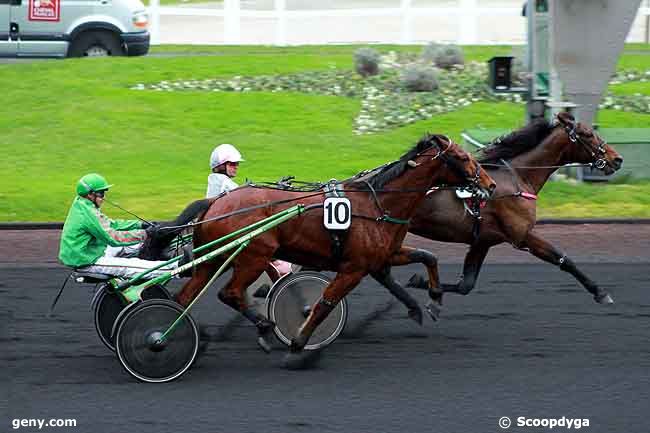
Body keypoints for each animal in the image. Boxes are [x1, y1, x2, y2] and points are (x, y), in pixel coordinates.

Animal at [170, 134, 494, 362]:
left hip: (213, 260)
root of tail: (215, 203)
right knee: (230, 293)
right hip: (253, 255)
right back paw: (262, 327)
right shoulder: (354, 268)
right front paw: (299, 341)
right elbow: (324, 302)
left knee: (184, 297)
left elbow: (428, 257)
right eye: (463, 157)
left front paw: (430, 302)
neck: (378, 203)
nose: (490, 185)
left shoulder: (384, 255)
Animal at [404, 111, 624, 314]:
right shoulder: (521, 235)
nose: (617, 159)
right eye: (587, 134)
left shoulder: (482, 241)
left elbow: (465, 285)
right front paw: (600, 293)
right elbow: (562, 258)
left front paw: (419, 282)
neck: (518, 177)